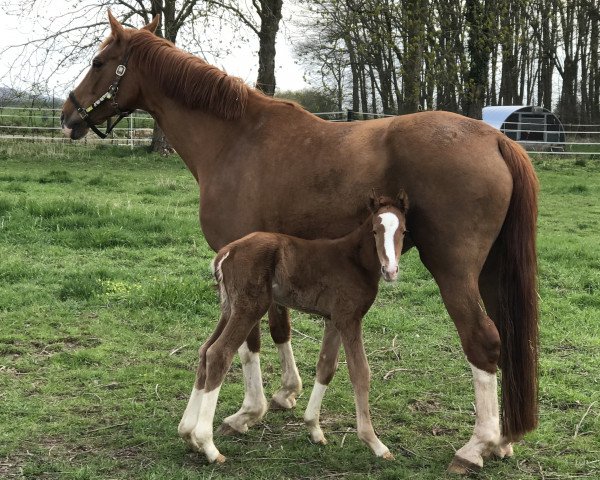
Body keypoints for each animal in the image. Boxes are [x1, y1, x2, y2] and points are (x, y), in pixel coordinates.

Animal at [178, 193, 408, 464]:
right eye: (374, 231)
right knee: (219, 353)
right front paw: (375, 443)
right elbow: (360, 372)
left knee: (205, 350)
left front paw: (314, 429)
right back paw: (209, 446)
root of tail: (227, 252)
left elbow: (326, 366)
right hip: (249, 308)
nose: (390, 270)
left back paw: (188, 434)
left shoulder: (333, 319)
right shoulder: (349, 318)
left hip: (229, 308)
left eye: (403, 231)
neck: (353, 260)